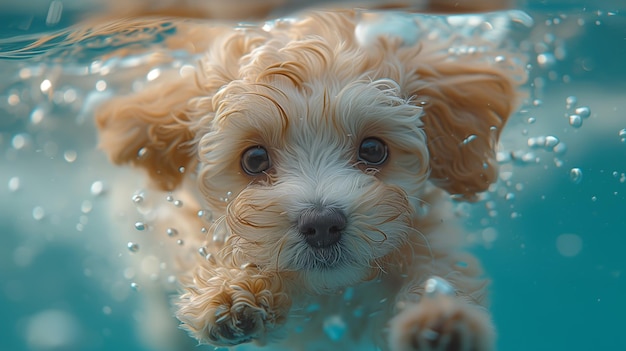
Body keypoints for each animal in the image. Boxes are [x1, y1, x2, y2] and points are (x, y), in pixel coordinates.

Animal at [96, 8, 520, 351]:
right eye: (254, 159)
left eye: (373, 150)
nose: (322, 224)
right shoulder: (172, 220)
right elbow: (203, 242)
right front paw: (233, 292)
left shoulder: (430, 235)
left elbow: (440, 271)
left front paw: (437, 318)